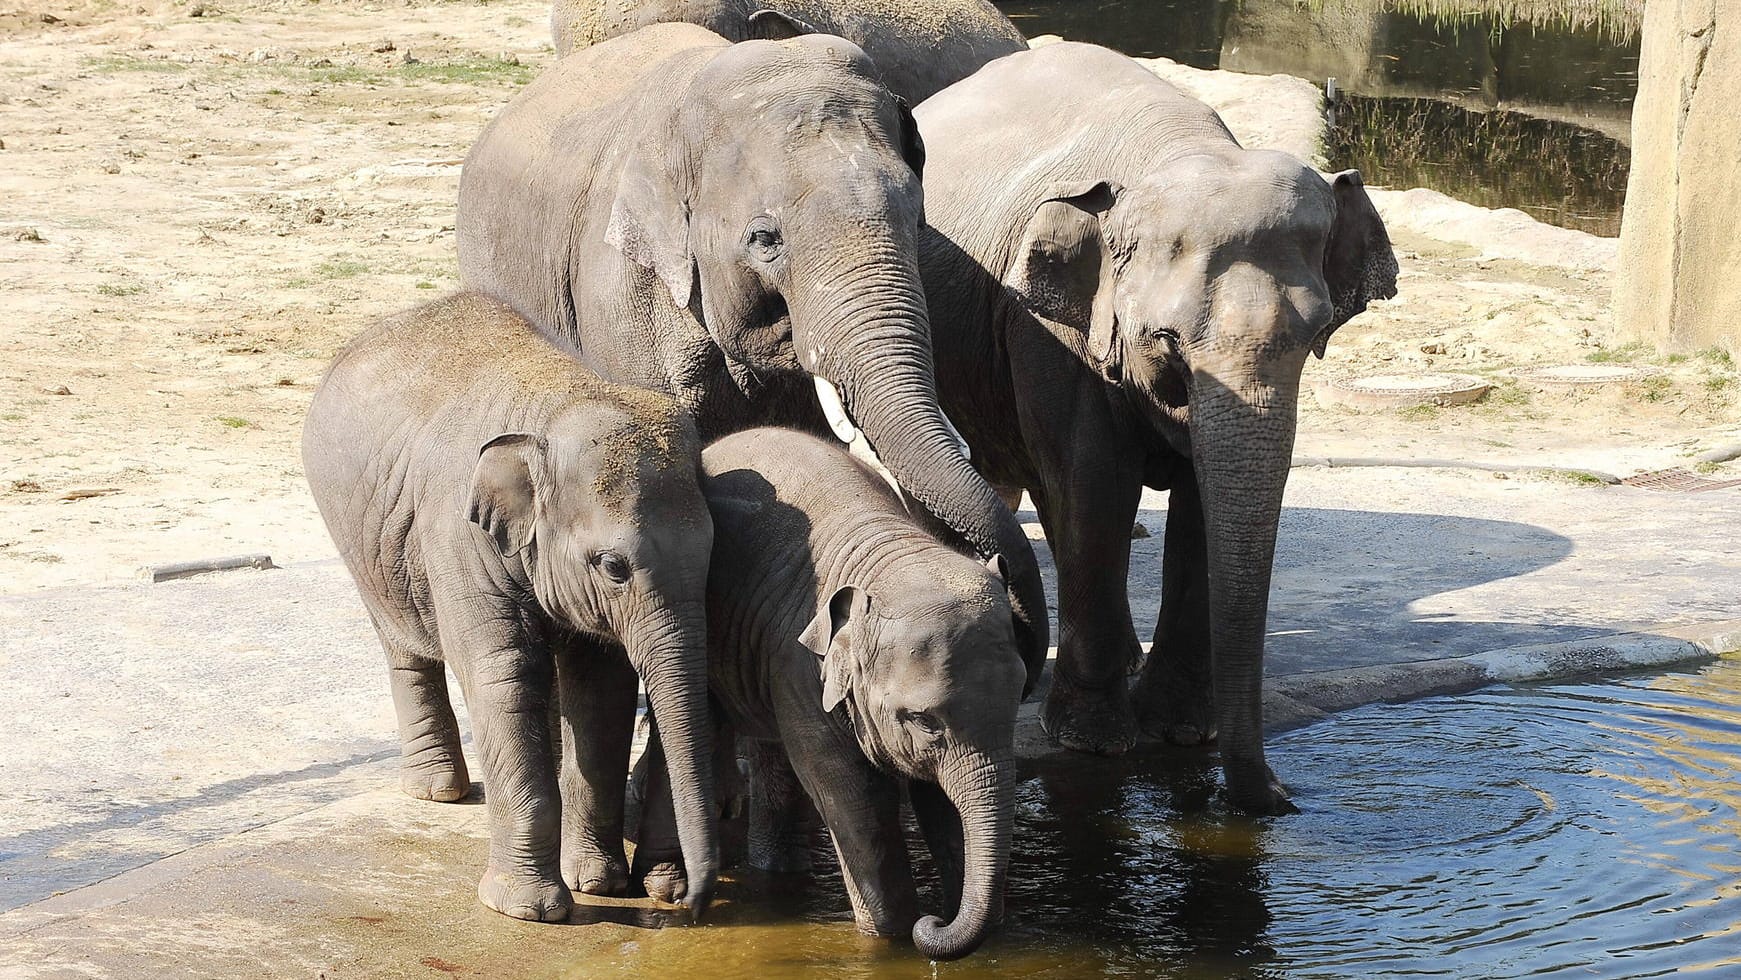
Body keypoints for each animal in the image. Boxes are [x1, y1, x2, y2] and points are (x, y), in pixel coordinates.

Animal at [306, 295, 720, 926]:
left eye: (713, 557)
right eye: (614, 567)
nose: (685, 904)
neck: (563, 398)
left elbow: (600, 689)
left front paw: (598, 883)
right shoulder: (458, 536)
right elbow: (504, 673)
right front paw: (531, 911)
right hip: (360, 541)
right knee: (406, 646)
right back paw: (437, 791)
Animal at [630, 428, 1023, 960]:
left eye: (1020, 696)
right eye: (923, 720)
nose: (936, 922)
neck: (895, 551)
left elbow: (938, 799)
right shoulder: (801, 666)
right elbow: (852, 793)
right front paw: (894, 938)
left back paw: (778, 870)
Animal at [919, 42, 1392, 818]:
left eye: (1315, 334)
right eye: (1164, 340)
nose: (1281, 797)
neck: (1182, 147)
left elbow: (1203, 500)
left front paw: (1181, 733)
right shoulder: (1049, 333)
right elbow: (1095, 487)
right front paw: (1095, 742)